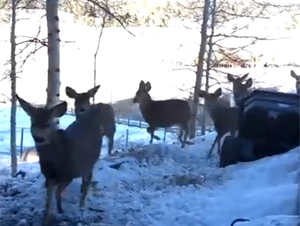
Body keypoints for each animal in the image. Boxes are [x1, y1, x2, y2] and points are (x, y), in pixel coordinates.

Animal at [16, 94, 105, 225]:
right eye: (33, 123)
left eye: (48, 124)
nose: (38, 138)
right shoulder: (49, 176)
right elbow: (48, 199)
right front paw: (46, 217)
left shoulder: (68, 174)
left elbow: (57, 192)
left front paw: (60, 210)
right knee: (85, 179)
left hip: (91, 161)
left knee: (88, 178)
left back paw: (82, 203)